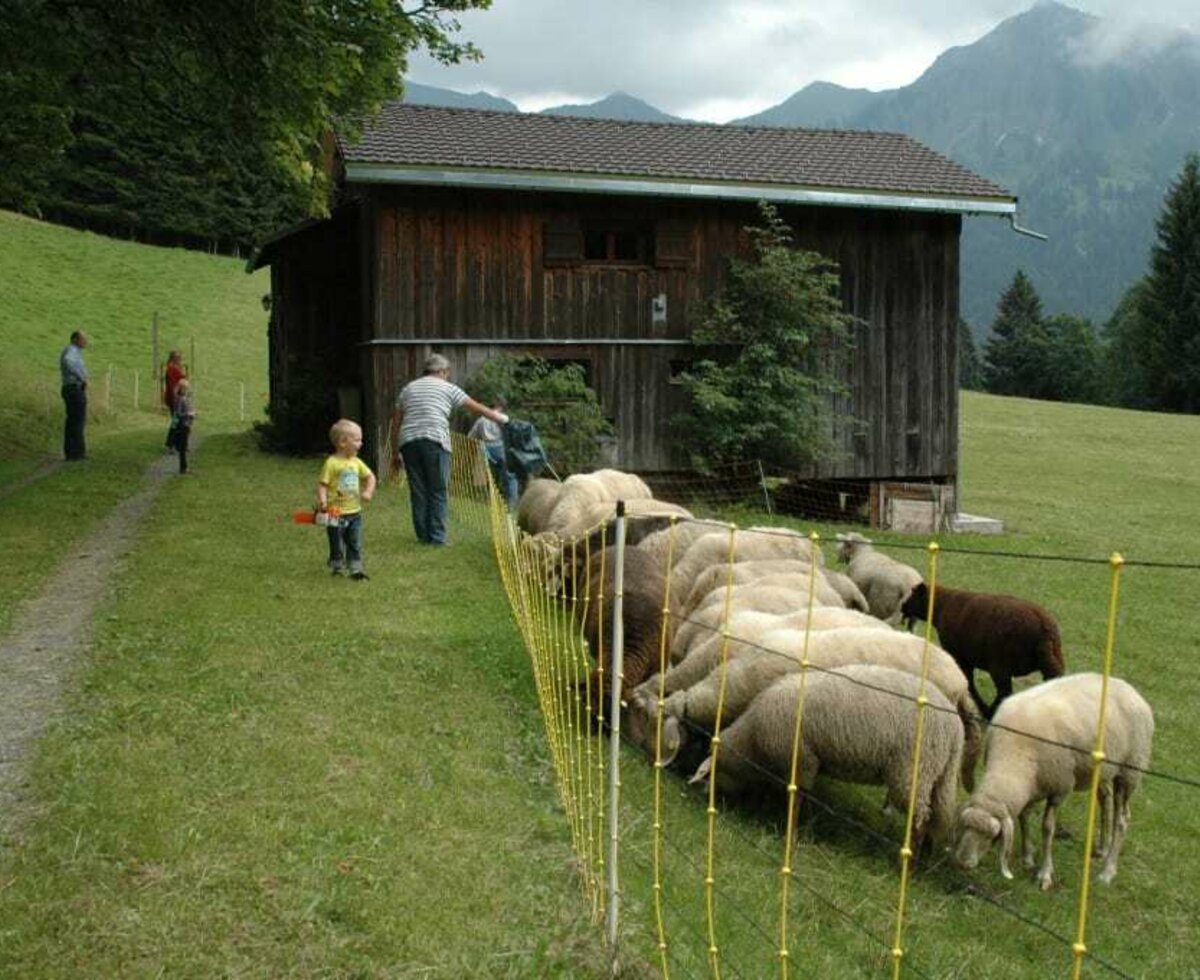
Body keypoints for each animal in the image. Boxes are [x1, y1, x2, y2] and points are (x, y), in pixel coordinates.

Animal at [691, 666, 960, 854]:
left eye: (710, 775)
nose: (706, 797)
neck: (751, 739)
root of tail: (955, 726)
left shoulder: (802, 759)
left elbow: (797, 798)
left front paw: (791, 835)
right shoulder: (808, 762)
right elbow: (805, 797)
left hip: (913, 768)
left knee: (921, 818)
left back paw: (908, 862)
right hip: (937, 773)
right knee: (935, 812)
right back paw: (924, 856)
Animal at [902, 580, 1070, 719]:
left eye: (913, 593)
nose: (903, 606)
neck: (940, 607)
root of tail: (1044, 631)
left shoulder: (960, 656)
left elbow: (969, 683)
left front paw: (981, 709)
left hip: (1000, 664)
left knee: (1004, 692)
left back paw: (990, 713)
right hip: (1053, 660)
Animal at [950, 671, 1147, 887]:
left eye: (992, 836)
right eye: (964, 827)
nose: (963, 863)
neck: (1014, 757)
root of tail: (1130, 689)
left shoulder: (1060, 789)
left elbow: (1047, 828)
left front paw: (1045, 873)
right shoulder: (1032, 787)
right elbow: (1024, 817)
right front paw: (1028, 857)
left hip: (1130, 771)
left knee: (1122, 819)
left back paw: (1107, 872)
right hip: (1103, 769)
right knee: (1105, 801)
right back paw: (1101, 849)